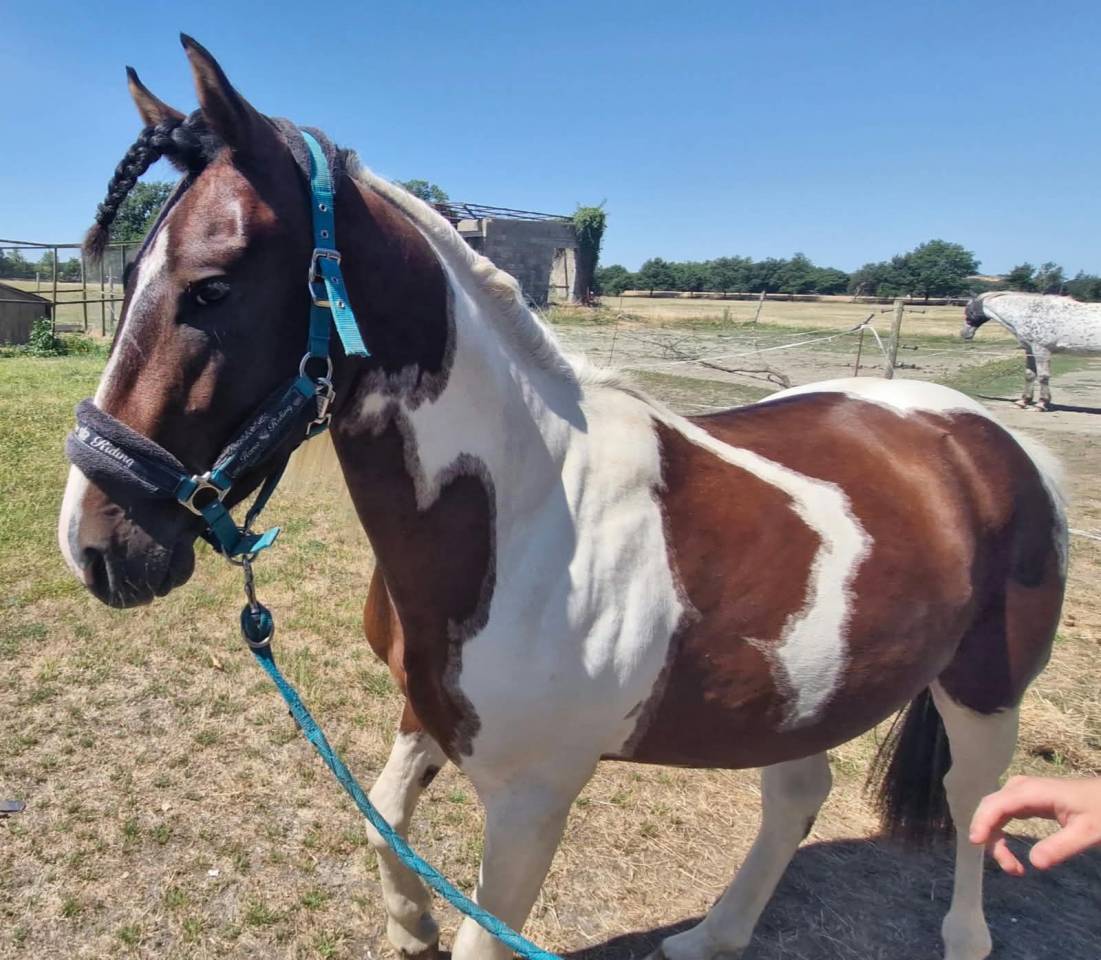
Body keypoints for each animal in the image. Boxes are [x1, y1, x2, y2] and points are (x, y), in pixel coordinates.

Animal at [58, 37, 1068, 960]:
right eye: (129, 275)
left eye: (210, 288)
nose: (92, 544)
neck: (532, 521)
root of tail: (987, 436)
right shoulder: (427, 716)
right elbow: (384, 817)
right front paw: (411, 923)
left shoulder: (531, 800)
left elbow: (483, 936)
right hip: (808, 693)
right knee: (797, 795)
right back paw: (713, 935)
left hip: (984, 690)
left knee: (973, 805)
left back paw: (960, 936)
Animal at [963, 291, 1101, 411]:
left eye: (969, 310)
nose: (964, 334)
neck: (1030, 313)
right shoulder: (1030, 349)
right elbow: (1029, 375)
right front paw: (1023, 401)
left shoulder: (1041, 350)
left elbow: (1043, 376)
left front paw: (1041, 404)